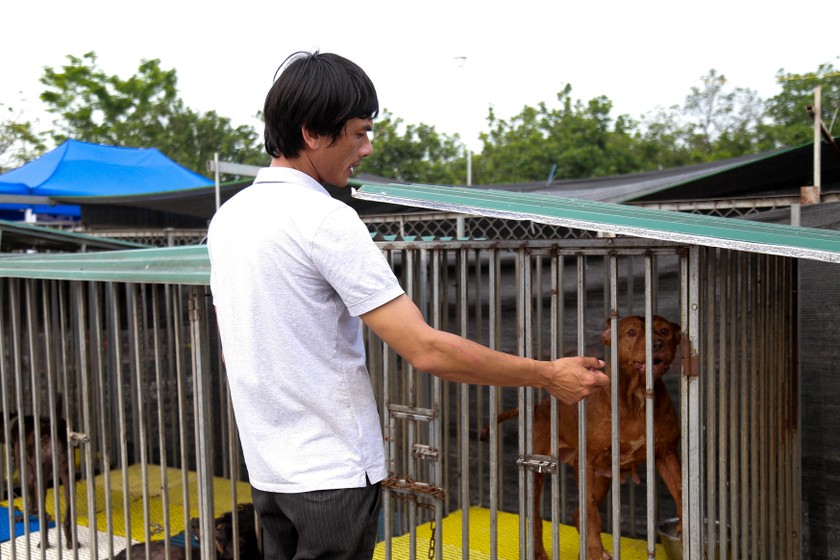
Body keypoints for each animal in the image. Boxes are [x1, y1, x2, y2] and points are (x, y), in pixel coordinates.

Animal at [0, 396, 74, 548]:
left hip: (41, 478)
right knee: (67, 519)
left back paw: (44, 543)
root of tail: (52, 428)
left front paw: (24, 516)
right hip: (67, 476)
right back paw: (71, 543)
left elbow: (30, 502)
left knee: (43, 519)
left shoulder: (28, 477)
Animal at [486, 316, 684, 560]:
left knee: (577, 513)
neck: (637, 398)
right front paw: (595, 551)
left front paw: (685, 530)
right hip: (539, 472)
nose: (657, 344)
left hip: (602, 479)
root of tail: (539, 407)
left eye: (665, 331)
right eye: (631, 332)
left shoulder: (666, 454)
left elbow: (681, 491)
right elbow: (591, 514)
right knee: (538, 517)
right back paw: (541, 551)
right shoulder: (587, 461)